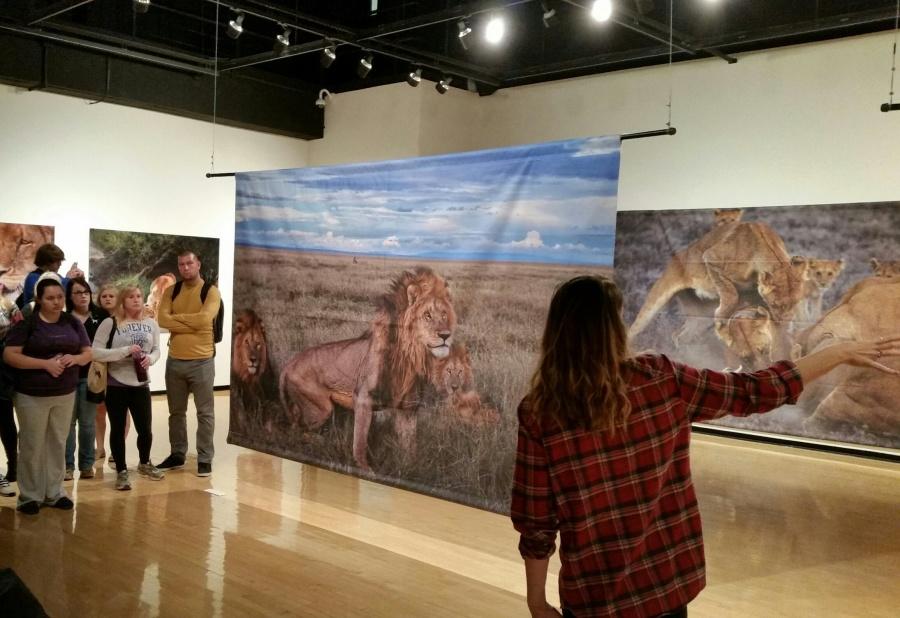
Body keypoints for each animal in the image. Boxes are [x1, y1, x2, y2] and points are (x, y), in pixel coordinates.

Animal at [278, 264, 454, 466]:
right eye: (427, 315)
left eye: (444, 315)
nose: (446, 335)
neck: (410, 356)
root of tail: (288, 364)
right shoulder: (362, 398)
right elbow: (360, 440)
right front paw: (364, 468)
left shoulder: (408, 407)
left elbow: (410, 446)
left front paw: (411, 466)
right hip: (321, 408)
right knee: (294, 430)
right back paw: (321, 441)